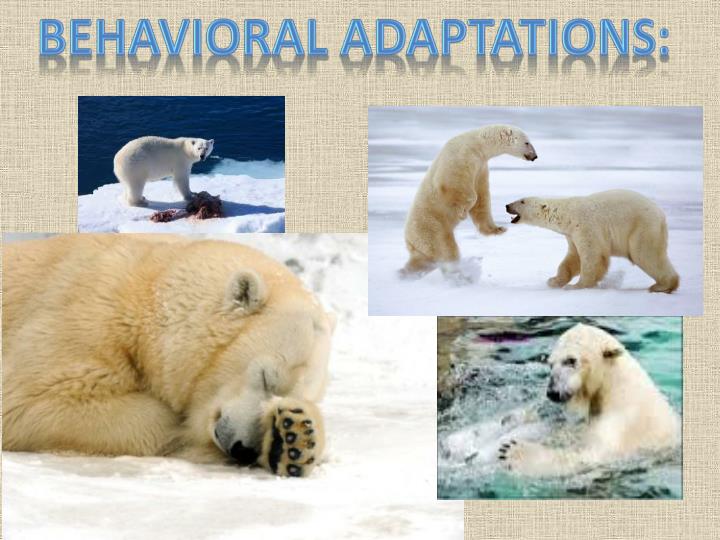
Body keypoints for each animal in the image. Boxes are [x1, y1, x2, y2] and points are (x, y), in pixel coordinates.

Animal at [2, 234, 335, 478]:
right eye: (266, 377)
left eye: (290, 394)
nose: (245, 449)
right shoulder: (83, 321)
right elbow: (28, 402)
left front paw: (294, 438)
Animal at [401, 125, 537, 277]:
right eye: (527, 142)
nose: (535, 156)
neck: (477, 144)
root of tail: (409, 241)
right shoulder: (461, 157)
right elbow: (455, 186)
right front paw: (463, 211)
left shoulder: (481, 166)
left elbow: (482, 198)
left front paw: (498, 229)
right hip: (431, 227)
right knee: (445, 249)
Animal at [498, 323, 680, 477]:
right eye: (550, 364)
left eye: (570, 360)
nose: (553, 392)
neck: (617, 386)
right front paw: (512, 418)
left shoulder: (621, 424)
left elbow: (588, 457)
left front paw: (513, 451)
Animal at [506, 189, 679, 293]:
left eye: (522, 201)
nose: (507, 205)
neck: (566, 214)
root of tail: (661, 214)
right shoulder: (571, 234)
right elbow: (573, 259)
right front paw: (554, 281)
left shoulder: (585, 226)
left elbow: (593, 256)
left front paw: (577, 286)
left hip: (642, 227)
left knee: (645, 254)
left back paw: (662, 285)